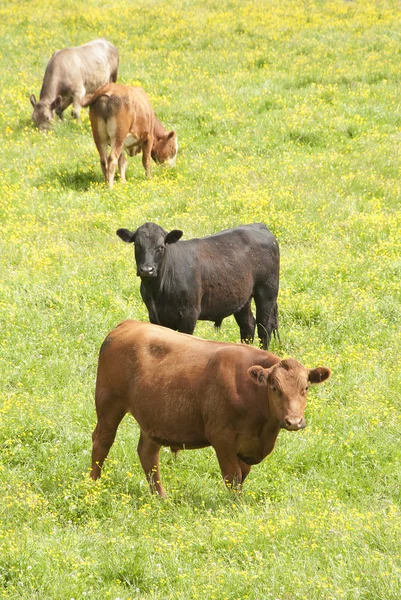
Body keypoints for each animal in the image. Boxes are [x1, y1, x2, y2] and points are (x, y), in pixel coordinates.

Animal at [91, 318, 332, 496]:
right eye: (274, 388)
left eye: (306, 388)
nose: (294, 421)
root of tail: (128, 324)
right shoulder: (222, 437)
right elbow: (232, 476)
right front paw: (235, 507)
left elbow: (242, 476)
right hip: (108, 404)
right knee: (102, 442)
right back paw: (93, 487)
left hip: (153, 417)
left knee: (148, 454)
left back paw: (161, 497)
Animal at [115, 223, 278, 350]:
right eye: (137, 245)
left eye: (160, 247)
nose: (147, 270)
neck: (158, 290)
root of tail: (259, 226)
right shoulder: (155, 315)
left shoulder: (190, 313)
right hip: (242, 298)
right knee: (248, 326)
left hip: (267, 292)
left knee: (264, 327)